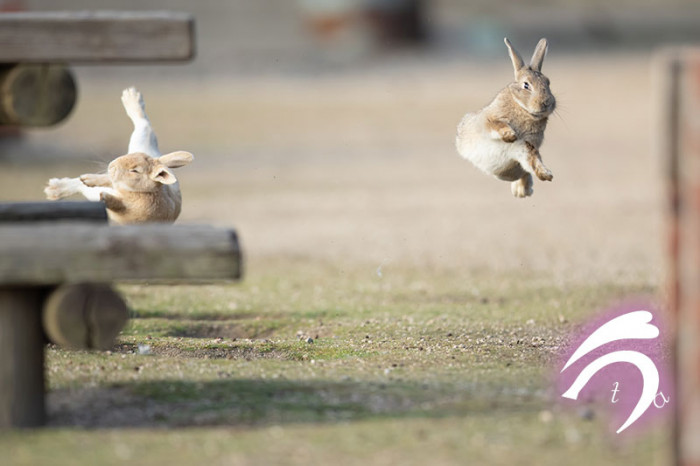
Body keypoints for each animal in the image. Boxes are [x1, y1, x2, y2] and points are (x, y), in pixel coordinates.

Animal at [44, 87, 194, 224]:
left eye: (135, 171)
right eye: (133, 156)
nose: (112, 166)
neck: (144, 192)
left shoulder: (124, 203)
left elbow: (116, 202)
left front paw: (103, 196)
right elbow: (103, 180)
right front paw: (88, 180)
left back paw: (54, 189)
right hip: (142, 142)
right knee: (143, 122)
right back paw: (131, 96)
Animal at [455, 38, 556, 198]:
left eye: (548, 83)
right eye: (526, 85)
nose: (546, 103)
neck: (523, 109)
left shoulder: (525, 145)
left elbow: (533, 158)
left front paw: (546, 175)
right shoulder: (487, 121)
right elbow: (496, 124)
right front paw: (509, 135)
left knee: (524, 172)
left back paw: (522, 191)